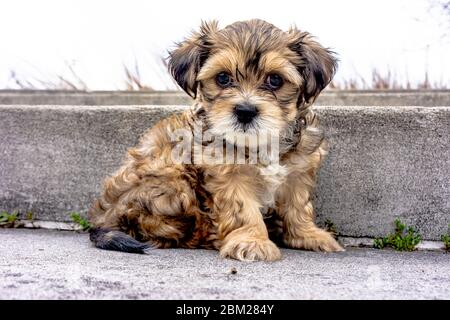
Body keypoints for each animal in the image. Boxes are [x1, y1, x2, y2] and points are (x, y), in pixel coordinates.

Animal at [88, 19, 342, 260]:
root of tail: (104, 217)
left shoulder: (298, 170)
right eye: (222, 78)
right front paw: (252, 242)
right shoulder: (227, 175)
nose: (245, 111)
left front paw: (308, 235)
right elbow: (242, 210)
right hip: (170, 175)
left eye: (275, 80)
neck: (259, 143)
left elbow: (297, 206)